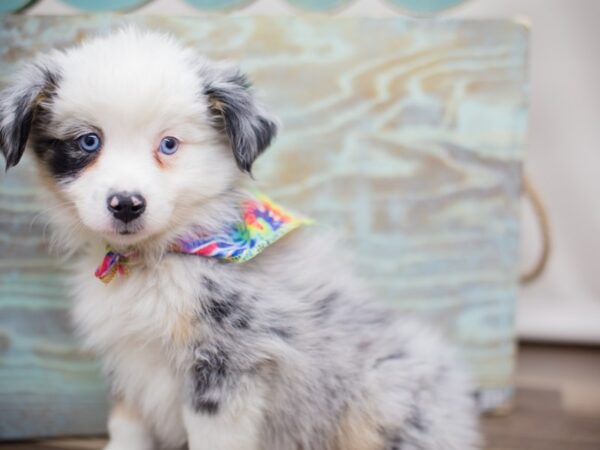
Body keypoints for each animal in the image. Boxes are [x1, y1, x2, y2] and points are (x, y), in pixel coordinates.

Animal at [0, 28, 478, 450]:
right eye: (88, 141)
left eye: (169, 145)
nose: (126, 204)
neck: (155, 260)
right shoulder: (128, 362)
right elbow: (126, 427)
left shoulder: (227, 367)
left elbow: (214, 440)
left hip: (384, 398)